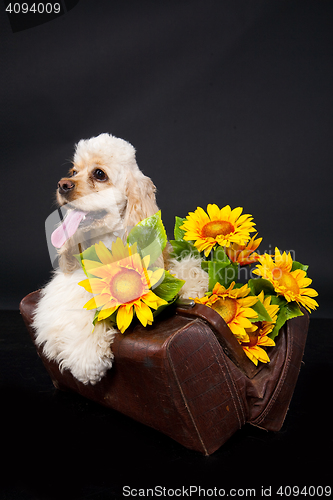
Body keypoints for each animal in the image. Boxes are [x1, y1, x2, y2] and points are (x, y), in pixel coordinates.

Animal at [33, 132, 205, 382]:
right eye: (74, 172)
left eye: (99, 174)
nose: (62, 185)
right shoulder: (62, 291)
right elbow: (77, 307)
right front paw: (89, 359)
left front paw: (194, 282)